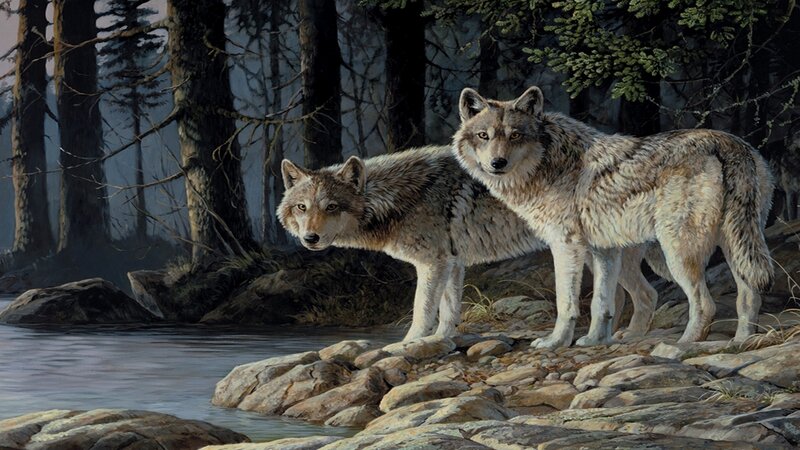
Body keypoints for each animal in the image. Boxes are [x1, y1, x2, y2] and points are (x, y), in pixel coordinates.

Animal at [277, 146, 665, 341]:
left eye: (331, 207)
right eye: (302, 207)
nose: (310, 238)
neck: (397, 197)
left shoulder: (432, 264)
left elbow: (421, 310)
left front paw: (407, 345)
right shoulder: (451, 263)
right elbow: (449, 311)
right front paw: (439, 342)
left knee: (639, 295)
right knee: (638, 296)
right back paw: (618, 339)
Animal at [454, 86, 774, 349]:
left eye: (515, 135)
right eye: (483, 136)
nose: (497, 163)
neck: (548, 162)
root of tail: (728, 143)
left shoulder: (565, 245)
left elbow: (566, 302)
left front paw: (555, 342)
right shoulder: (603, 250)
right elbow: (603, 303)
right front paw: (595, 340)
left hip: (677, 253)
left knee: (705, 303)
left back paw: (684, 344)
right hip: (726, 247)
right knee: (746, 294)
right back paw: (740, 342)